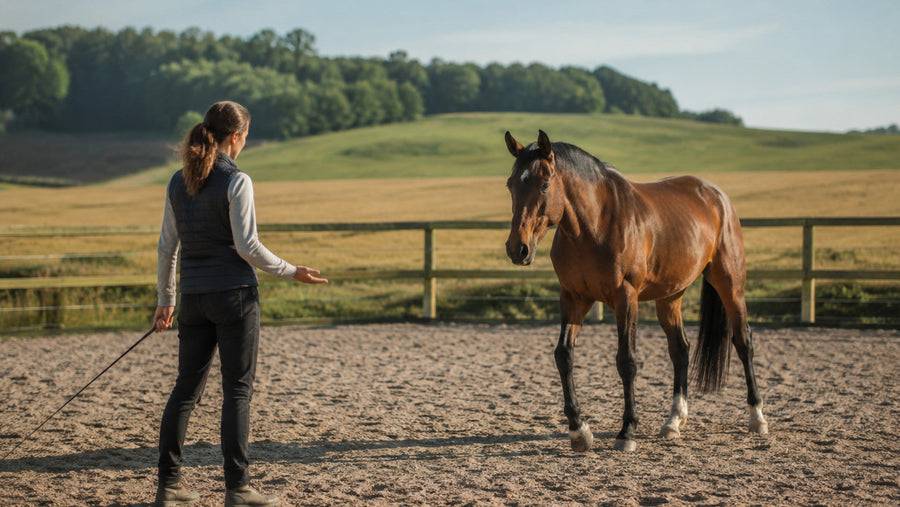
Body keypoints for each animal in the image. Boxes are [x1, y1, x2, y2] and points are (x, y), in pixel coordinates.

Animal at [504, 130, 768, 452]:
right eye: (511, 184)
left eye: (544, 184)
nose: (517, 249)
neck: (595, 225)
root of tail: (717, 196)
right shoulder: (573, 298)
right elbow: (563, 356)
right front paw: (579, 430)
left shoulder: (626, 298)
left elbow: (626, 361)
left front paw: (627, 430)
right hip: (670, 296)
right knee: (680, 350)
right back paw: (674, 421)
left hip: (730, 284)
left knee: (743, 342)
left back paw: (757, 417)